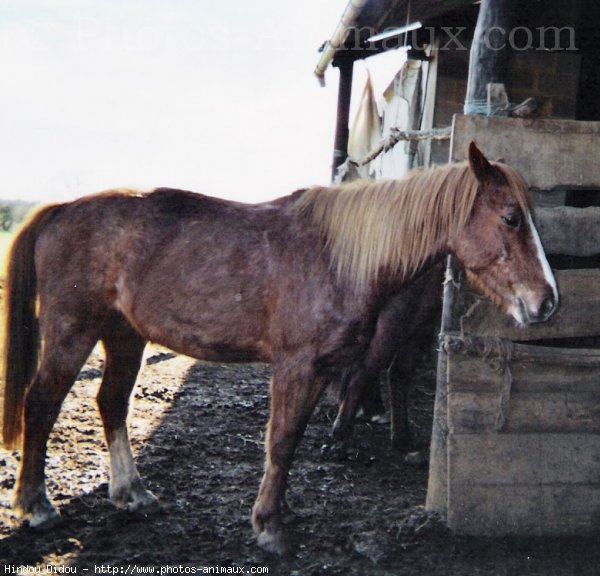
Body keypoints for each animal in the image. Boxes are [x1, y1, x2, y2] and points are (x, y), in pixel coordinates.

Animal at [1, 143, 556, 552]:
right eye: (510, 218)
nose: (547, 301)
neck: (339, 257)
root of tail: (60, 211)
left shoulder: (319, 370)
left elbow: (293, 440)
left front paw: (281, 512)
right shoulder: (295, 366)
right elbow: (282, 441)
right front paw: (269, 527)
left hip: (123, 335)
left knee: (111, 403)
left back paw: (132, 493)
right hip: (73, 333)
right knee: (42, 403)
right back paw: (35, 506)